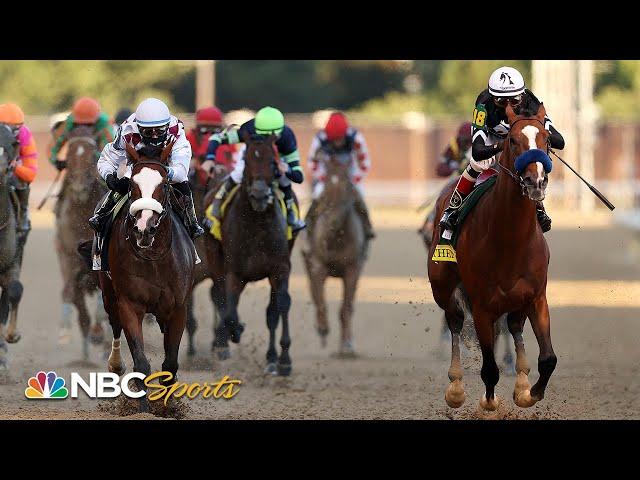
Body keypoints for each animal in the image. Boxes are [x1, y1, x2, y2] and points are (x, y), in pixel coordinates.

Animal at [98, 141, 195, 406]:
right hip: (108, 295)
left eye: (164, 184)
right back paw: (115, 365)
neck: (154, 258)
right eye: (132, 184)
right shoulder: (129, 304)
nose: (144, 228)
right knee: (114, 325)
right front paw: (143, 408)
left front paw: (168, 406)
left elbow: (170, 364)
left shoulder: (178, 307)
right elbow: (141, 362)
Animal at [302, 151, 368, 356]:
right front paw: (323, 328)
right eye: (326, 185)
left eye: (347, 185)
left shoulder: (353, 268)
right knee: (315, 297)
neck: (335, 238)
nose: (333, 221)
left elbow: (346, 308)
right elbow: (321, 302)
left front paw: (346, 346)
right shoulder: (318, 266)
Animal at [430, 103, 556, 410]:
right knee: (454, 321)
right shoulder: (482, 306)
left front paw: (529, 393)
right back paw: (455, 386)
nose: (536, 181)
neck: (511, 239)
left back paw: (521, 379)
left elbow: (548, 358)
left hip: (517, 301)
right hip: (442, 287)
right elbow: (489, 368)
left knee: (514, 326)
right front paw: (489, 402)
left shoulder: (537, 296)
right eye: (512, 140)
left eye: (546, 139)